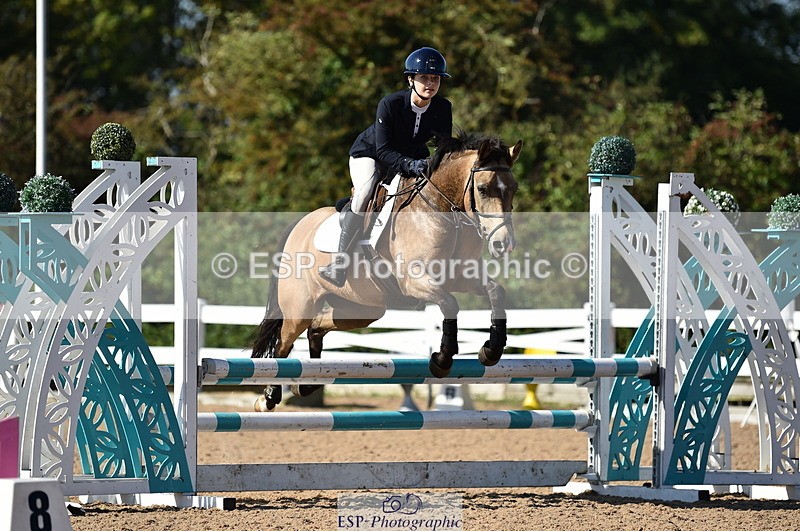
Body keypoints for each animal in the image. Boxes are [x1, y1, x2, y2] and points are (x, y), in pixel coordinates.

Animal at [251, 131, 523, 411]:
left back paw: (307, 384)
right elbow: (449, 303)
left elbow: (496, 291)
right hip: (300, 308)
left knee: (316, 327)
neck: (442, 210)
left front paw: (491, 350)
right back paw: (269, 397)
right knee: (283, 345)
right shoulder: (415, 281)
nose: (503, 243)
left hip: (362, 310)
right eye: (482, 189)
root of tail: (300, 224)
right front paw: (441, 359)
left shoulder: (462, 276)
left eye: (514, 189)